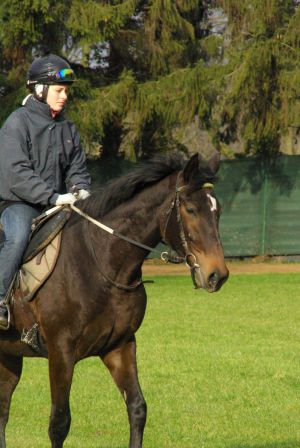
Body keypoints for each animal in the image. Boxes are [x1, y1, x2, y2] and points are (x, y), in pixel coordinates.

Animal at [0, 151, 227, 448]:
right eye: (190, 210)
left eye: (217, 210)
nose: (218, 274)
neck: (100, 262)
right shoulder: (61, 352)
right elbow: (59, 423)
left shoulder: (120, 346)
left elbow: (137, 408)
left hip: (9, 356)